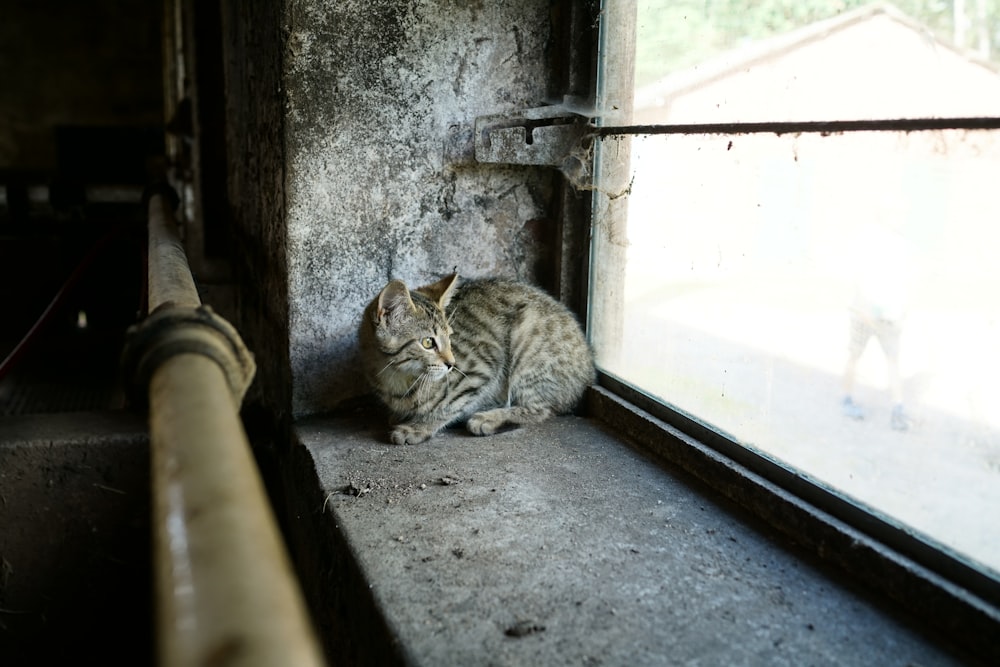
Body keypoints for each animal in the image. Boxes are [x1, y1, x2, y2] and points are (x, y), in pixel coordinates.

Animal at [360, 274, 592, 446]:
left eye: (450, 338)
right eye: (427, 342)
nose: (451, 364)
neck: (396, 378)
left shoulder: (483, 368)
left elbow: (450, 405)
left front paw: (420, 426)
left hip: (527, 339)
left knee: (540, 409)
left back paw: (490, 418)